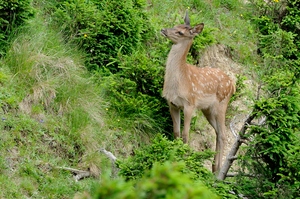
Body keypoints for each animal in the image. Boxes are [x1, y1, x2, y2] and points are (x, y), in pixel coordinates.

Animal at [161, 11, 236, 173]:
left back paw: (218, 170)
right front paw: (175, 152)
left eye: (180, 32)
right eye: (175, 25)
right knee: (217, 131)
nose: (163, 30)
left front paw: (184, 157)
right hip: (207, 109)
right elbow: (176, 131)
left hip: (222, 103)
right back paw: (213, 167)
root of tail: (233, 85)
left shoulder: (190, 103)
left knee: (223, 134)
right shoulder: (172, 104)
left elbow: (185, 134)